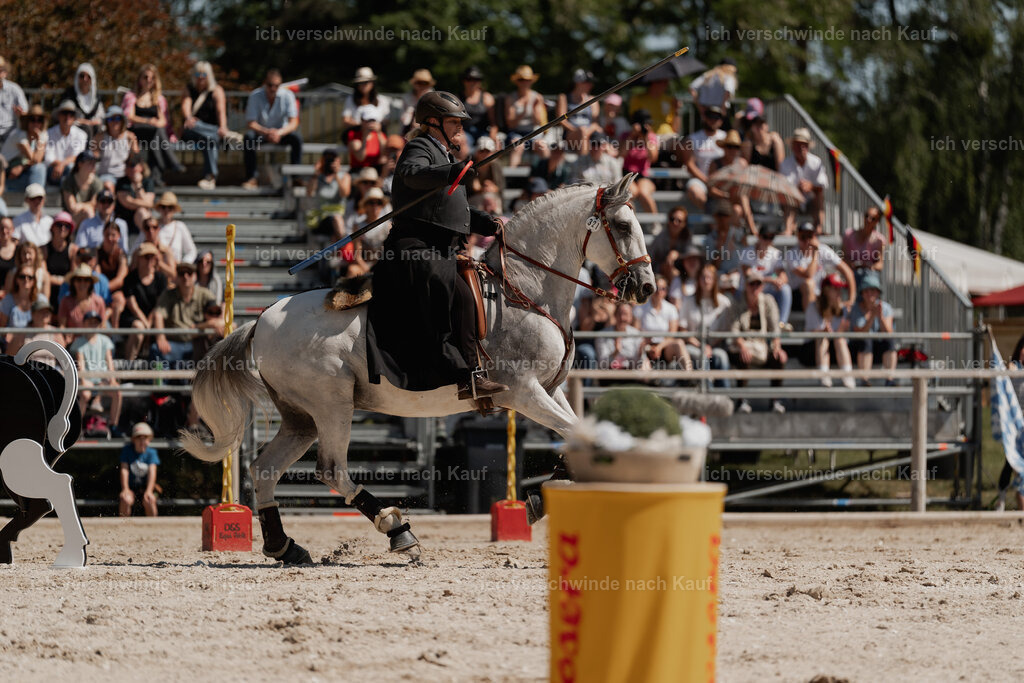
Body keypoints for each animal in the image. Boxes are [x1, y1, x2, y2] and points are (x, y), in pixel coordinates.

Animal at [181, 173, 656, 564]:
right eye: (624, 226)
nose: (647, 287)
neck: (521, 289)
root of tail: (262, 320)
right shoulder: (525, 392)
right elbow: (580, 433)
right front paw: (540, 497)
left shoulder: (550, 390)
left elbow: (584, 433)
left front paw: (546, 492)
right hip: (331, 407)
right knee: (331, 469)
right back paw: (398, 531)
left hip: (301, 418)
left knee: (265, 469)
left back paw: (285, 547)